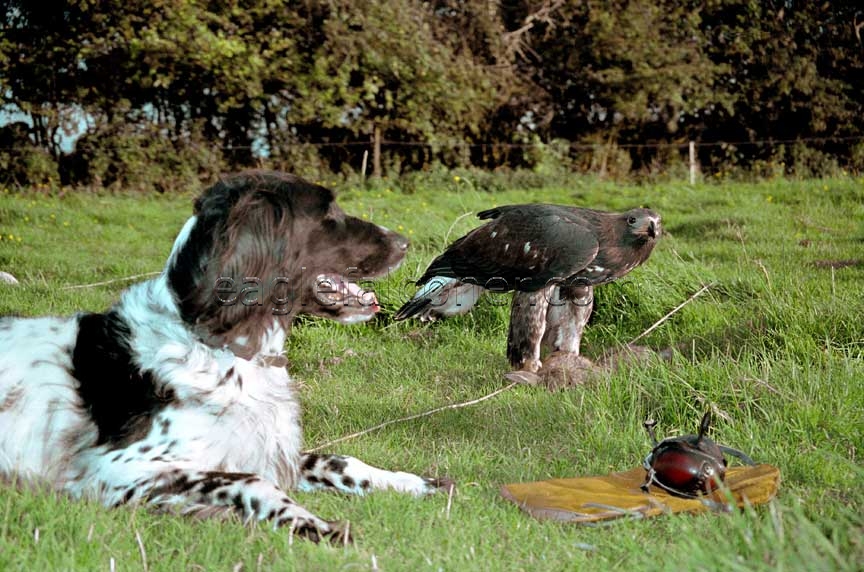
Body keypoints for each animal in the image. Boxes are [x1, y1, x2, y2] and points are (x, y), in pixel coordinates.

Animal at [0, 170, 446, 540]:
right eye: (328, 211)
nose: (405, 242)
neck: (220, 346)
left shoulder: (266, 450)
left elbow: (338, 460)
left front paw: (410, 482)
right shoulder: (116, 468)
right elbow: (251, 481)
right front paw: (313, 523)